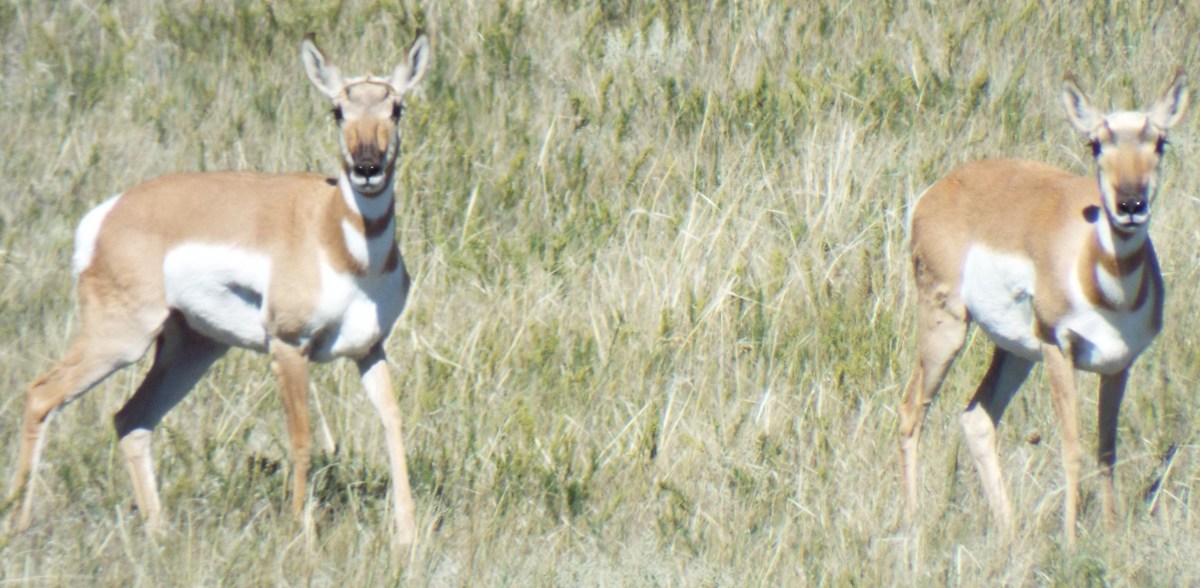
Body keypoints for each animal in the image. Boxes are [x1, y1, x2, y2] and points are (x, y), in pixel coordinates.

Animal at [7, 31, 431, 547]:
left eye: (396, 108)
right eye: (337, 110)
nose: (366, 167)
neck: (337, 238)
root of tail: (109, 212)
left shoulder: (370, 348)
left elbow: (393, 420)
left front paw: (408, 535)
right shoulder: (288, 347)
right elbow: (302, 439)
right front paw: (301, 535)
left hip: (193, 350)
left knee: (131, 418)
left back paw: (160, 534)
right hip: (120, 341)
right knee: (41, 395)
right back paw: (19, 523)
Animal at [899, 71, 1187, 547]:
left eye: (1159, 141)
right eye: (1096, 143)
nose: (1130, 205)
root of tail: (940, 189)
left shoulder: (1118, 366)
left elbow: (1105, 450)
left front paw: (1111, 538)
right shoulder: (1058, 349)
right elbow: (1072, 449)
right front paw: (1071, 542)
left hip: (1014, 351)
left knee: (977, 418)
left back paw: (1010, 531)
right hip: (948, 329)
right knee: (911, 410)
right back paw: (915, 520)